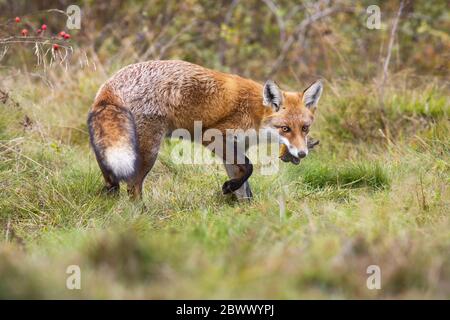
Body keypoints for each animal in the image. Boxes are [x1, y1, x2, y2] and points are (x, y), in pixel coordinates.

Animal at [88, 60, 322, 200]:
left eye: (305, 128)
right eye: (285, 128)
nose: (302, 153)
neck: (255, 113)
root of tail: (110, 84)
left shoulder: (235, 147)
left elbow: (244, 181)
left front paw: (243, 205)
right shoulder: (214, 137)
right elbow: (249, 167)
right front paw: (229, 189)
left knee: (111, 179)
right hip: (148, 150)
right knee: (133, 185)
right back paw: (140, 212)